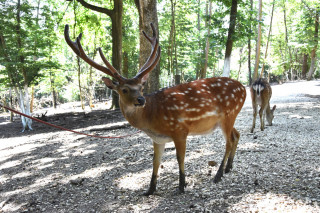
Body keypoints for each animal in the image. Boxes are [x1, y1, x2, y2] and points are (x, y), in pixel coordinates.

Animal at [63, 22, 246, 195]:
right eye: (124, 90)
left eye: (141, 87)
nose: (141, 99)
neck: (152, 120)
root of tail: (244, 88)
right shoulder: (158, 139)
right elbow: (155, 161)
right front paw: (150, 190)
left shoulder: (180, 130)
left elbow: (180, 158)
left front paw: (181, 186)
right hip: (228, 118)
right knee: (236, 135)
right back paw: (228, 168)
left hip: (229, 114)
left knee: (229, 141)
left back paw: (218, 175)